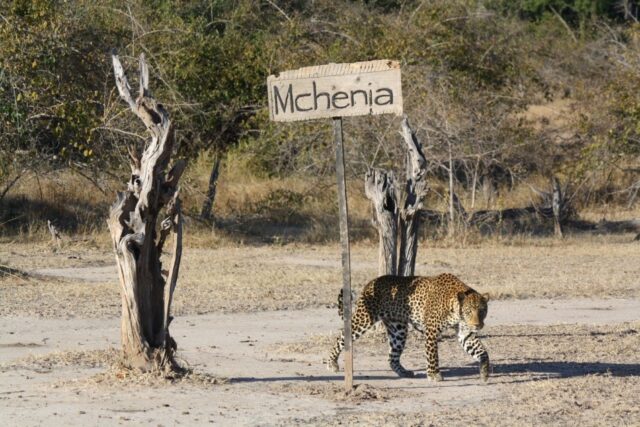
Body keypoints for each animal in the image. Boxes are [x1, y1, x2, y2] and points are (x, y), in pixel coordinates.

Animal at [328, 276, 492, 382]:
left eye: (482, 311)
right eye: (469, 311)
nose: (477, 325)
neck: (455, 309)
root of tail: (370, 283)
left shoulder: (465, 333)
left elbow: (482, 352)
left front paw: (484, 372)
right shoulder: (431, 330)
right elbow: (433, 355)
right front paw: (434, 375)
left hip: (399, 330)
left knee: (392, 356)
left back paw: (404, 372)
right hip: (364, 319)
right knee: (342, 336)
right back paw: (332, 363)